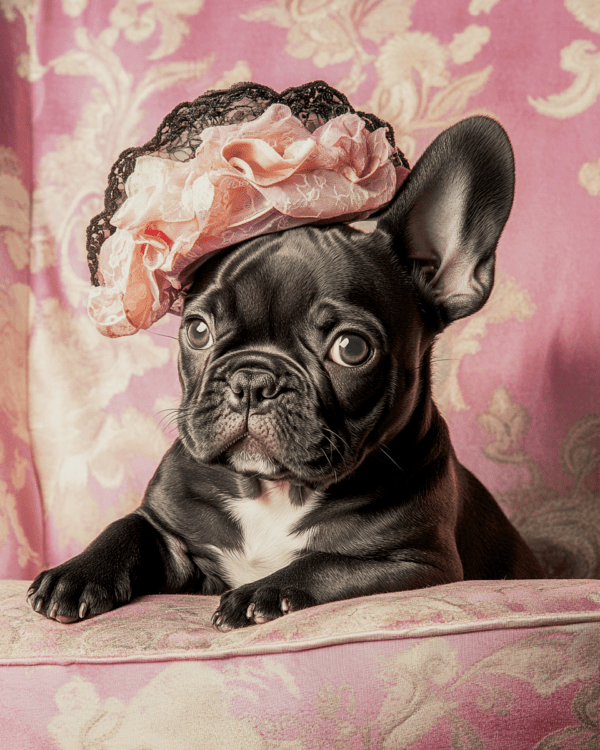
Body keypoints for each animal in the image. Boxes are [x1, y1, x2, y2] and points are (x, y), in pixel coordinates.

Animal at [27, 117, 544, 632]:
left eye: (352, 349)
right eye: (198, 331)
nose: (252, 381)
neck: (273, 490)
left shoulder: (415, 563)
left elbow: (325, 562)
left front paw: (261, 591)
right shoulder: (171, 534)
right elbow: (127, 527)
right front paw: (77, 573)